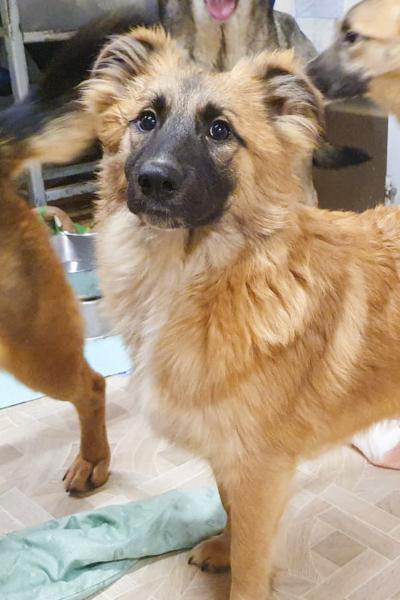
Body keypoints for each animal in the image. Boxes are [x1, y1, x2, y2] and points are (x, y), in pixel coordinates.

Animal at [69, 27, 400, 598]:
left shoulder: (261, 470)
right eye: (146, 120)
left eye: (219, 130)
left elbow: (251, 559)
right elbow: (230, 512)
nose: (155, 180)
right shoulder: (231, 455)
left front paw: (238, 570)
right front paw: (222, 548)